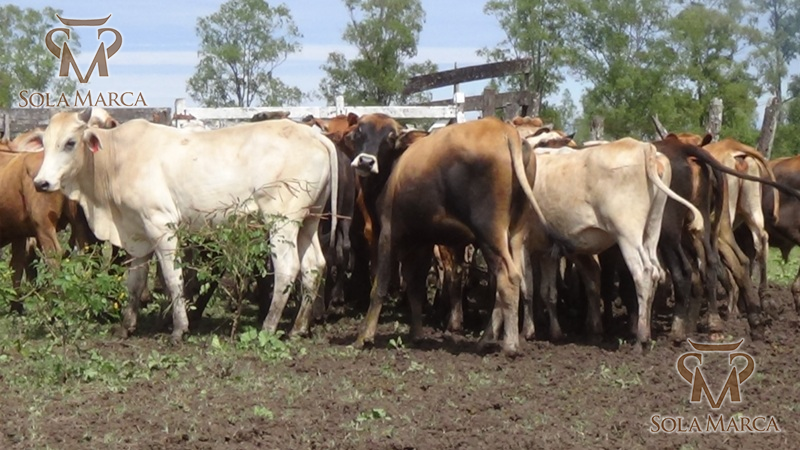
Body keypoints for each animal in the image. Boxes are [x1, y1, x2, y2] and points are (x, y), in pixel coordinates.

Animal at [31, 107, 339, 342]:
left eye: (70, 142)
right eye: (45, 144)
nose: (41, 183)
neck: (116, 159)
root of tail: (313, 134)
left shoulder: (161, 225)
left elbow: (172, 277)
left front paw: (179, 328)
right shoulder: (137, 234)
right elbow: (135, 282)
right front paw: (126, 326)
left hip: (282, 222)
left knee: (288, 268)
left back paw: (269, 326)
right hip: (309, 220)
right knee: (313, 266)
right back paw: (298, 328)